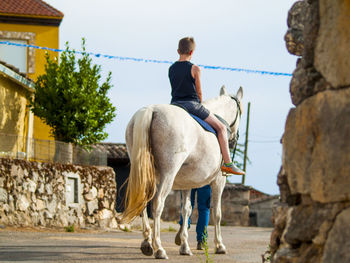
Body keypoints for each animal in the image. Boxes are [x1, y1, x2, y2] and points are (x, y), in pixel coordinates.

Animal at [122, 86, 243, 260]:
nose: (234, 139)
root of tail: (151, 110)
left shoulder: (187, 183)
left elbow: (186, 210)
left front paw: (184, 245)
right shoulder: (219, 181)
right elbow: (217, 213)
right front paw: (219, 245)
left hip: (143, 174)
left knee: (143, 202)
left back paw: (147, 243)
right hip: (168, 175)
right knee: (157, 204)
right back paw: (159, 248)